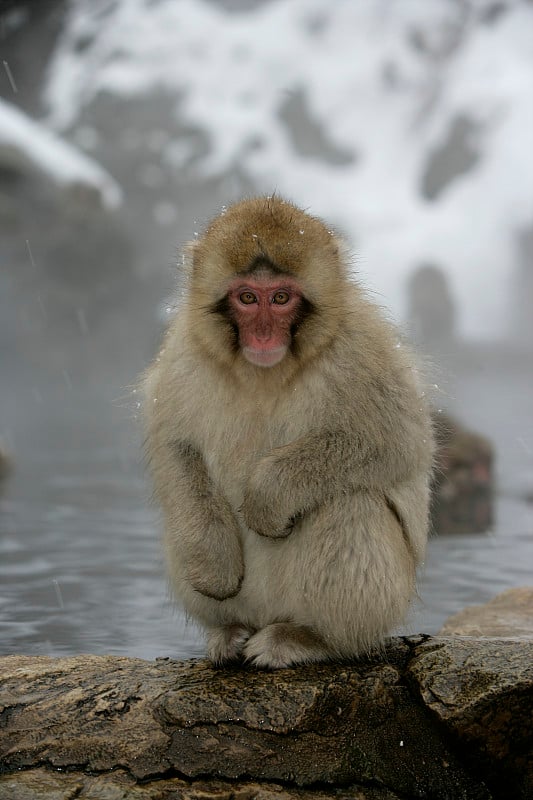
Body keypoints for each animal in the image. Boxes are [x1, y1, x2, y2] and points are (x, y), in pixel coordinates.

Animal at [143, 195, 434, 668]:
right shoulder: (184, 354)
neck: (266, 372)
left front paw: (267, 497)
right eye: (247, 298)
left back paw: (311, 638)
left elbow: (397, 441)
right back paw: (230, 630)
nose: (262, 335)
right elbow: (175, 446)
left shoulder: (362, 347)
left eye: (280, 298)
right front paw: (214, 562)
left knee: (349, 503)